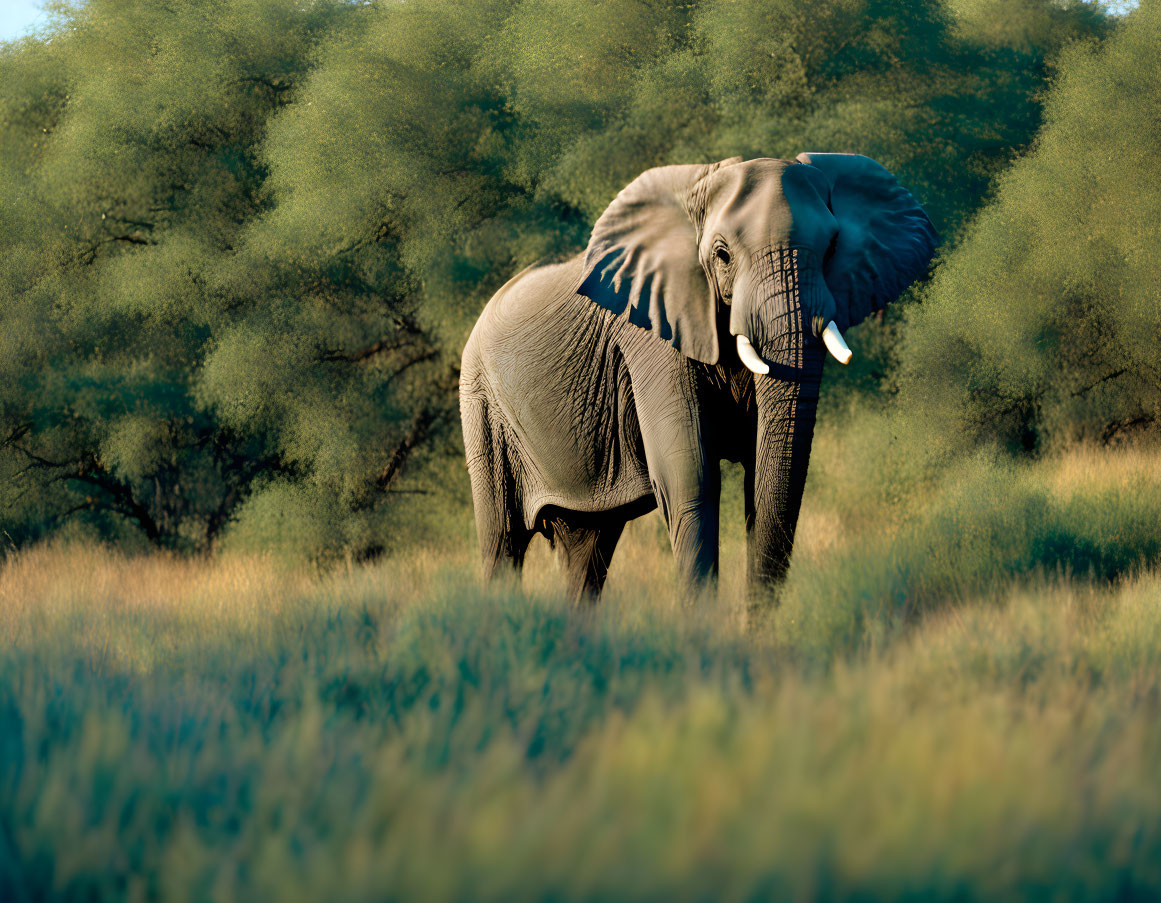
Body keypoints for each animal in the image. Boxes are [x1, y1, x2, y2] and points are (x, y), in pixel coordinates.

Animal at [457, 154, 938, 603]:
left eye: (832, 247)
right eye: (722, 255)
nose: (755, 624)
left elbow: (761, 473)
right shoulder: (650, 333)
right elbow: (691, 476)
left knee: (588, 547)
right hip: (480, 407)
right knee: (503, 542)